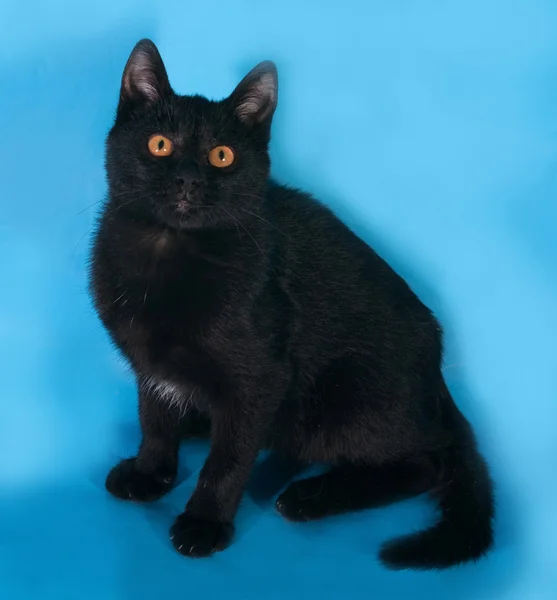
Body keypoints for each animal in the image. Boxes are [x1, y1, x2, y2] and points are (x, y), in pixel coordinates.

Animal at [89, 39, 494, 568]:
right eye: (160, 145)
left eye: (222, 156)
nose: (188, 181)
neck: (168, 252)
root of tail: (438, 374)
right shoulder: (149, 364)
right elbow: (154, 419)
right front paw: (150, 473)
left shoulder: (262, 376)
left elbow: (228, 459)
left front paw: (205, 523)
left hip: (348, 398)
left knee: (428, 463)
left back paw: (308, 497)